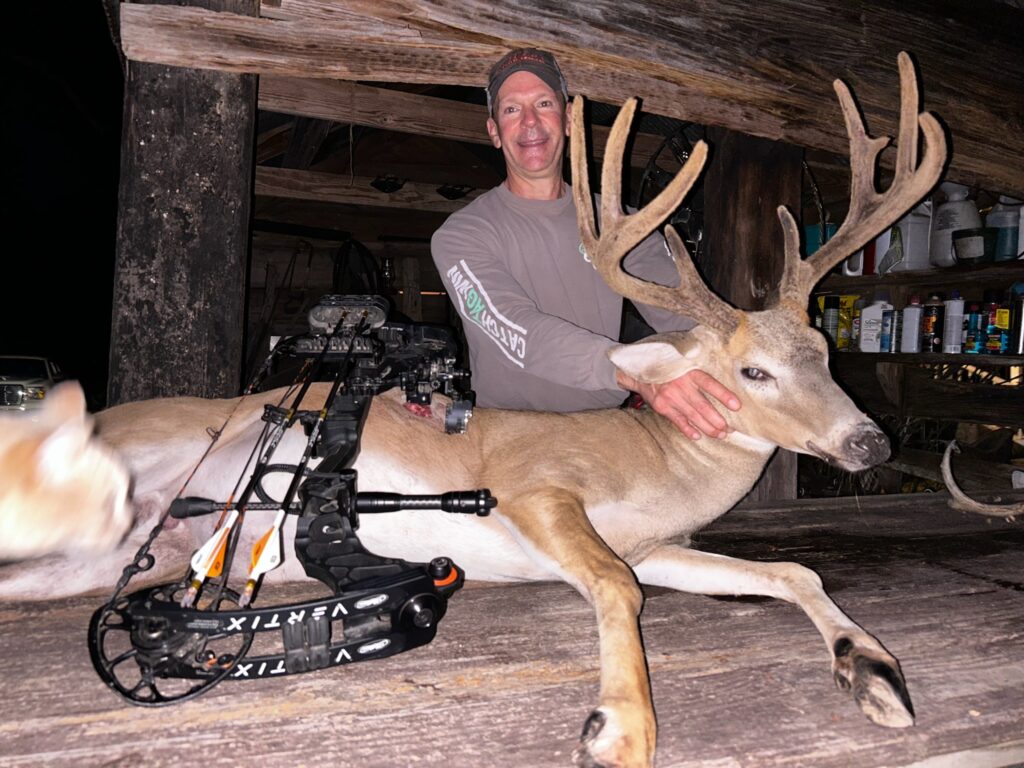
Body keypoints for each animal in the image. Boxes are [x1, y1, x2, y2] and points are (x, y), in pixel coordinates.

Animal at [0, 54, 947, 767]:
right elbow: (616, 587)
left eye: (822, 350)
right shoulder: (532, 486)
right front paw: (620, 728)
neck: (657, 469)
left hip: (126, 552)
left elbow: (793, 572)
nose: (869, 442)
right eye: (752, 370)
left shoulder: (658, 546)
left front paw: (875, 672)